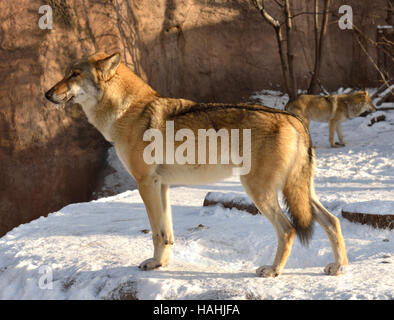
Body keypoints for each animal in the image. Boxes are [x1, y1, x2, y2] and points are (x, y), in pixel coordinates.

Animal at [45, 52, 348, 278]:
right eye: (67, 72)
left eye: (74, 74)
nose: (47, 94)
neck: (128, 110)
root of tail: (295, 119)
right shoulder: (162, 185)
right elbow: (167, 233)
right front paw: (161, 264)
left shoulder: (145, 184)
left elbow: (156, 232)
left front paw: (153, 264)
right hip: (298, 192)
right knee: (332, 221)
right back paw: (339, 267)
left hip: (259, 190)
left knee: (288, 229)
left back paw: (273, 270)